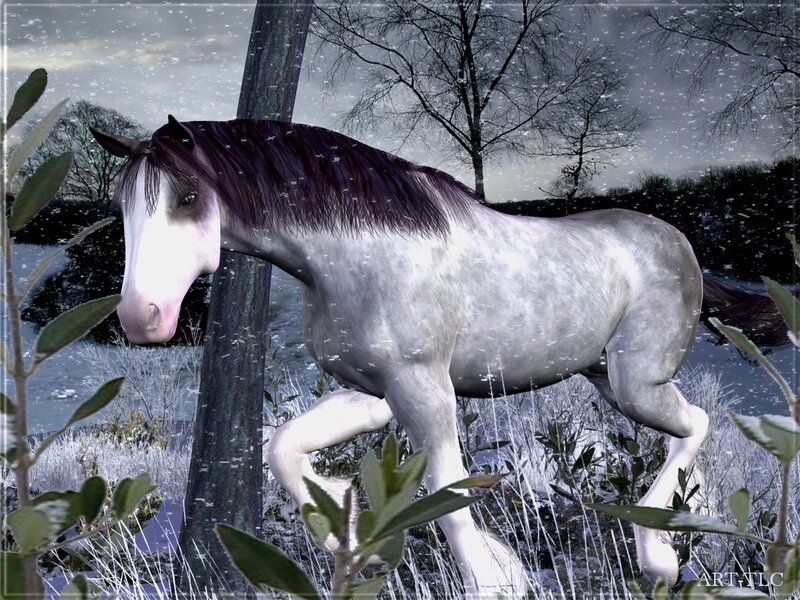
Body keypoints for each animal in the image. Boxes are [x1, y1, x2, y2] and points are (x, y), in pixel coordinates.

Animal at [91, 116, 773, 596]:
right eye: (121, 206)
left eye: (186, 198)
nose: (141, 317)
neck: (358, 254)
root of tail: (676, 239)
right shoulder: (370, 394)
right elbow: (282, 448)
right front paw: (353, 534)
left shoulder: (423, 387)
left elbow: (448, 491)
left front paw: (496, 579)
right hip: (606, 377)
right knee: (691, 430)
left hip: (636, 382)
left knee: (697, 424)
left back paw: (660, 554)